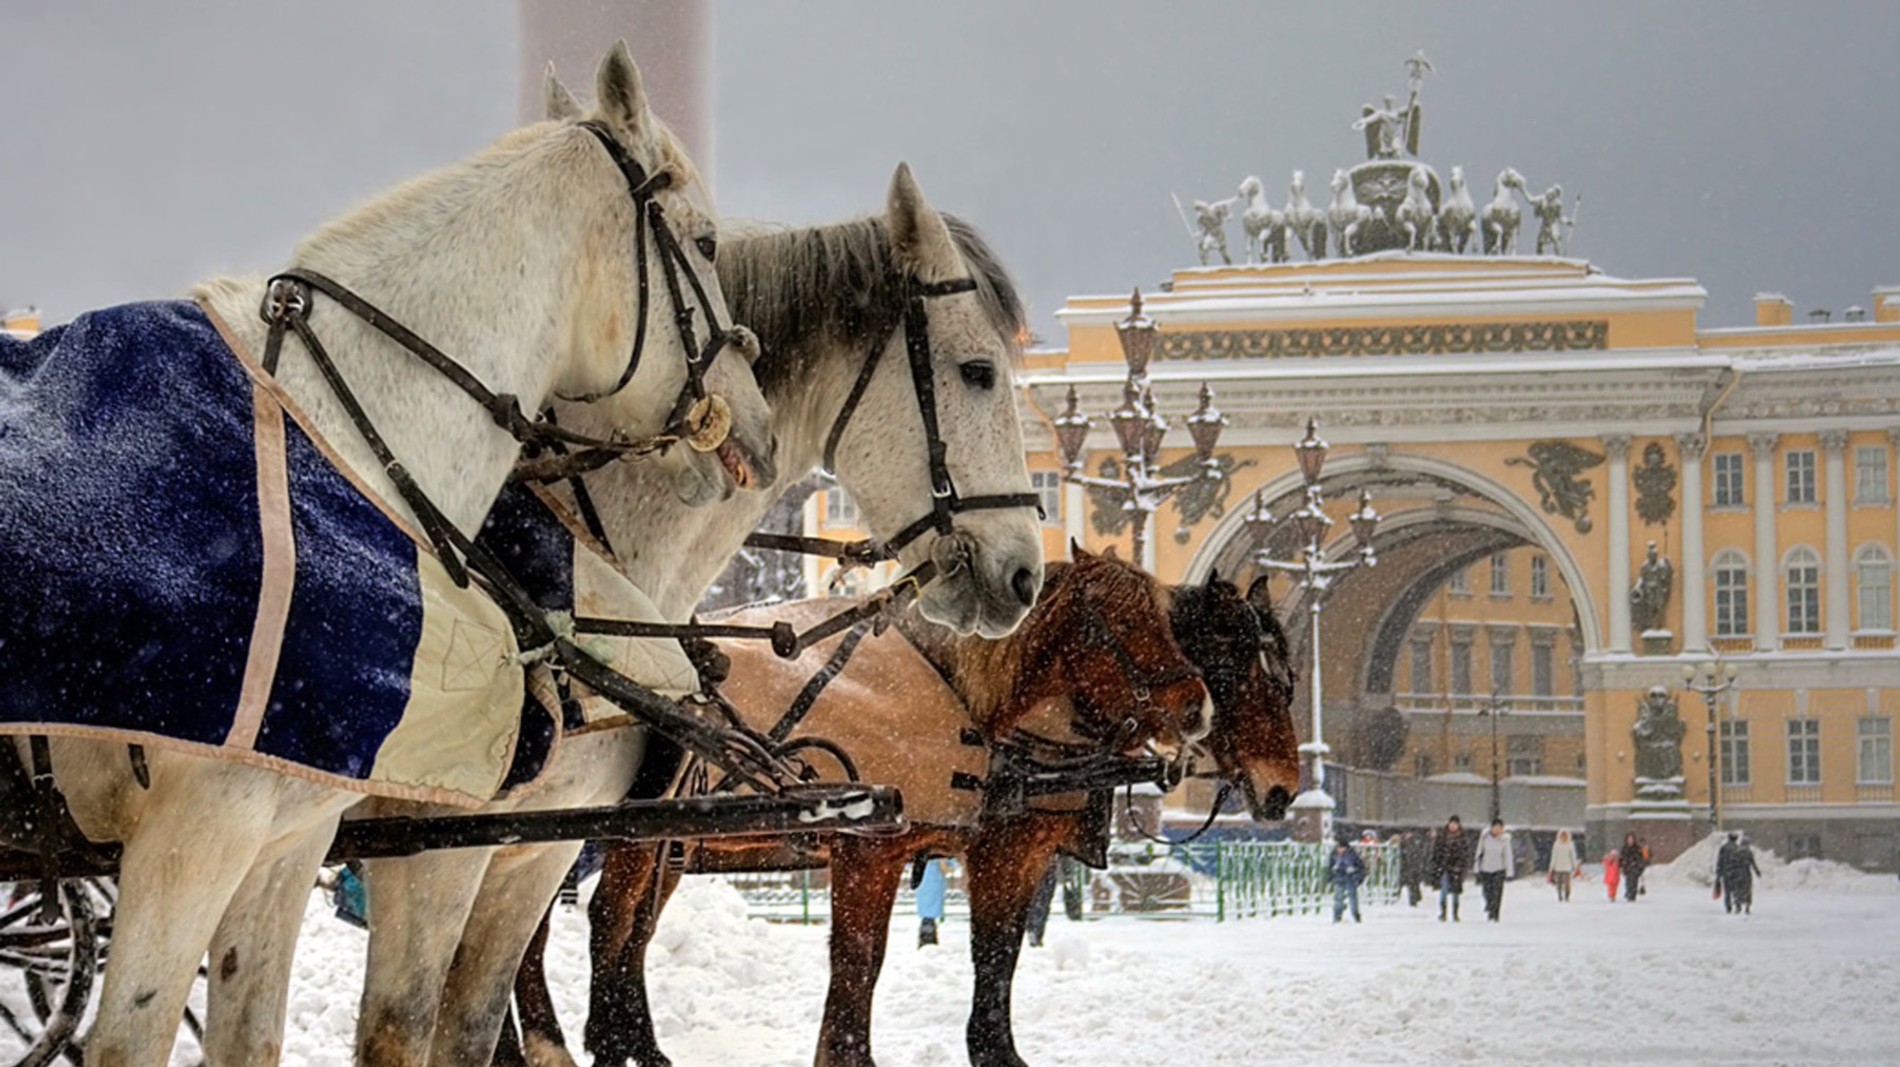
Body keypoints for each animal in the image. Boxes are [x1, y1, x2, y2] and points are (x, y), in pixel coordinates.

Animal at [497, 565, 1292, 1063]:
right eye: (1245, 665)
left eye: (1282, 676)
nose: (1284, 788)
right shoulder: (895, 849)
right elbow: (863, 962)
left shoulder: (1006, 856)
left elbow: (996, 959)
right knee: (572, 931)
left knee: (607, 932)